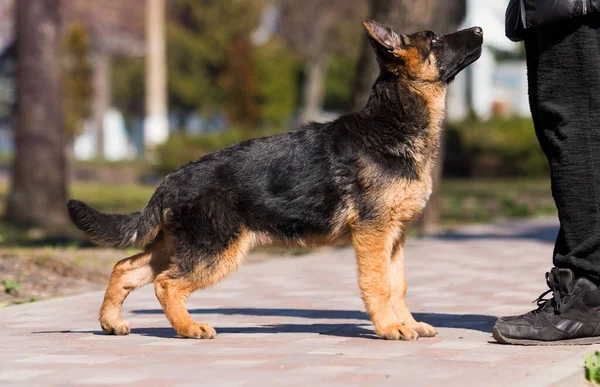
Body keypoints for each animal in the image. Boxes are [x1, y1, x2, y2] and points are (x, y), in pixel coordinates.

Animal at [69, 22, 482, 342]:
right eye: (435, 40)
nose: (479, 29)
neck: (392, 123)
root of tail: (171, 179)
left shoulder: (394, 236)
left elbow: (398, 285)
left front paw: (407, 323)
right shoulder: (373, 234)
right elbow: (378, 284)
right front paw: (389, 328)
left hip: (181, 246)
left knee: (125, 268)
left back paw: (112, 322)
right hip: (215, 251)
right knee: (166, 283)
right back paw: (189, 328)